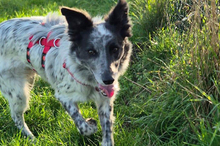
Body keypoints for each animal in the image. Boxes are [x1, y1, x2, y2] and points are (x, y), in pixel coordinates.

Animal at [0, 0, 131, 145]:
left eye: (115, 49)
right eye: (90, 51)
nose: (108, 80)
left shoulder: (104, 100)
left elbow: (107, 131)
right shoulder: (63, 96)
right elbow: (83, 126)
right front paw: (91, 124)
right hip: (18, 94)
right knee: (16, 116)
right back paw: (32, 138)